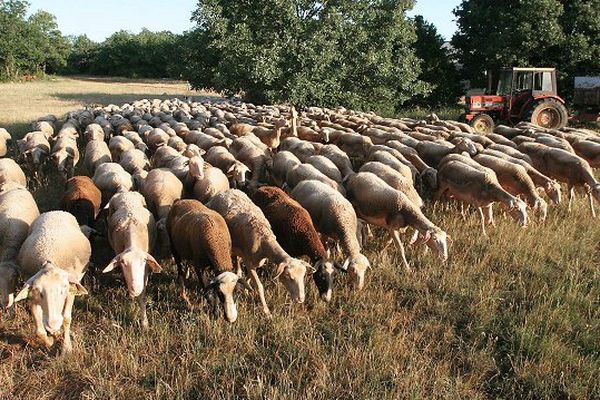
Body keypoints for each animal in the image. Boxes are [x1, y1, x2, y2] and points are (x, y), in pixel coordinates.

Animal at [14, 211, 90, 352]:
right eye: (39, 292)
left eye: (63, 290)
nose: (53, 324)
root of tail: (55, 211)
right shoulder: (32, 297)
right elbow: (39, 331)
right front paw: (50, 341)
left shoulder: (70, 293)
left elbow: (66, 319)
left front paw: (66, 347)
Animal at [103, 192, 161, 330]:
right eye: (123, 263)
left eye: (143, 261)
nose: (135, 288)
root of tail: (125, 192)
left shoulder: (145, 271)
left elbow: (142, 296)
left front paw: (144, 323)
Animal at [206, 189, 310, 318]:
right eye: (288, 276)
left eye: (303, 276)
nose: (301, 300)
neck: (263, 239)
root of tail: (224, 191)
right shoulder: (249, 261)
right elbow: (259, 286)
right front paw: (267, 312)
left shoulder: (254, 262)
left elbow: (249, 279)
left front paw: (247, 290)